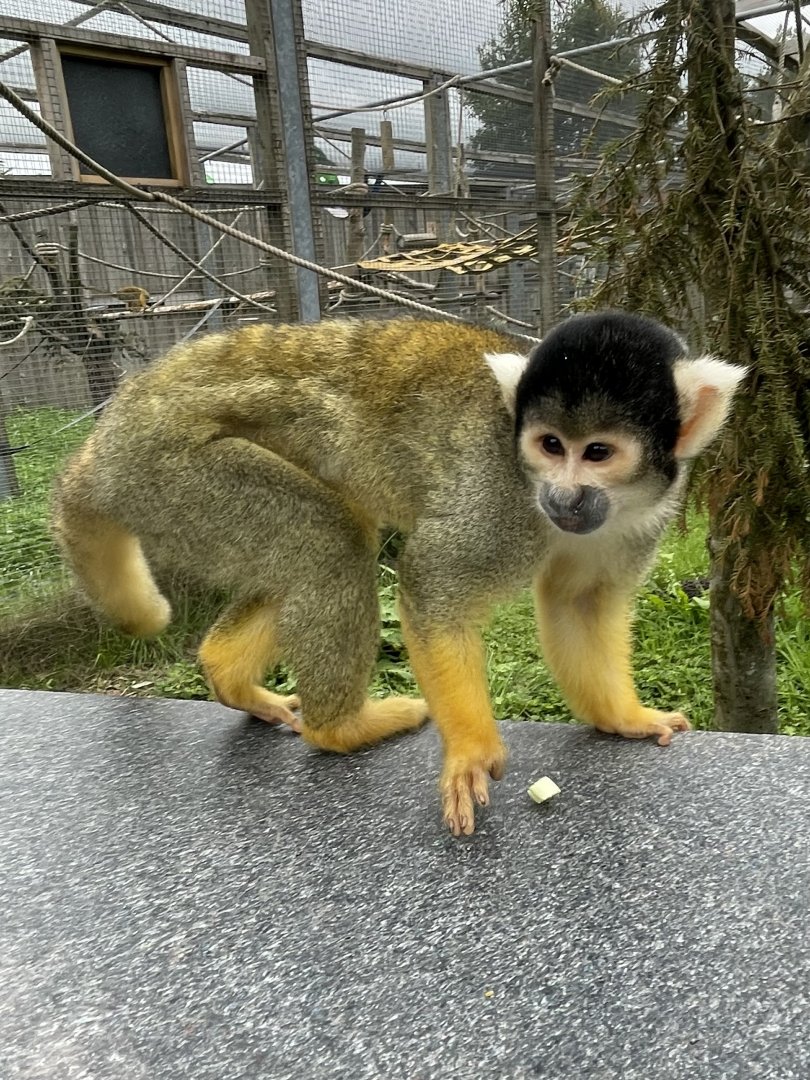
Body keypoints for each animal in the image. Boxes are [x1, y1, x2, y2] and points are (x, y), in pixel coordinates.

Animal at [51, 313, 745, 836]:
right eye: (550, 446)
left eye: (597, 453)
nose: (563, 497)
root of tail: (101, 444)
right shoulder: (500, 497)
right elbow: (433, 585)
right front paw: (469, 751)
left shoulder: (639, 518)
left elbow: (578, 602)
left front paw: (626, 718)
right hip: (172, 473)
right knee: (330, 541)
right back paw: (342, 728)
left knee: (334, 535)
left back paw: (230, 674)